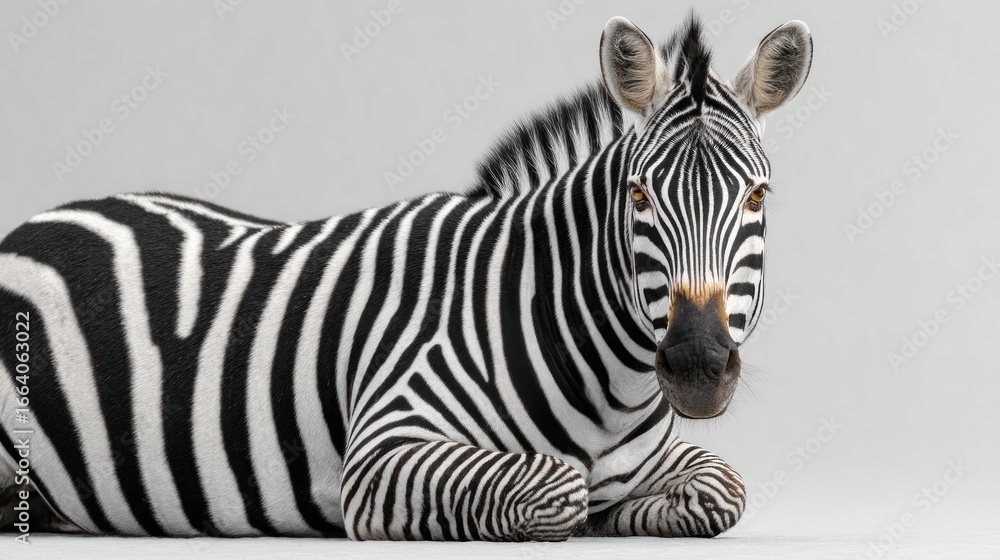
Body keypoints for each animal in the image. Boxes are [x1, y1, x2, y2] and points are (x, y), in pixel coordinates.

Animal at [0, 15, 812, 541]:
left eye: (758, 197)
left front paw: (628, 512)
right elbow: (559, 488)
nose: (698, 365)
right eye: (639, 197)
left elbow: (722, 488)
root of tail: (39, 220)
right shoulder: (383, 448)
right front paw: (591, 512)